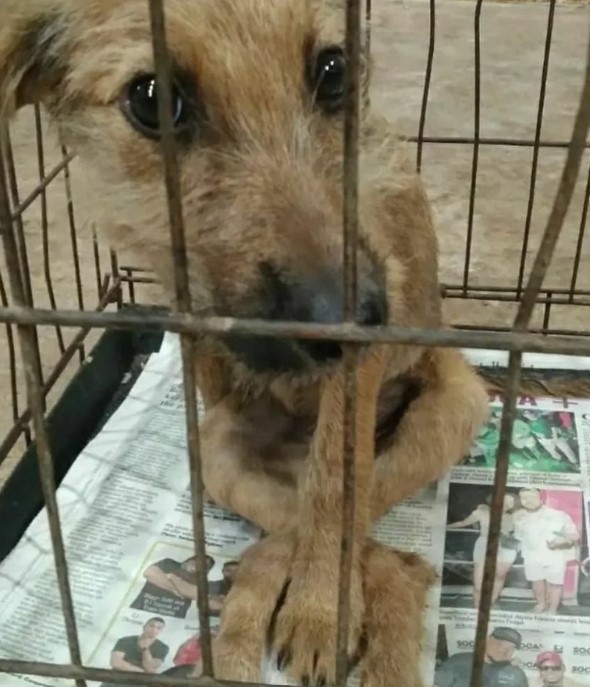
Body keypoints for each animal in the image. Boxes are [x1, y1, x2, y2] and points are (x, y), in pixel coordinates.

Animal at [0, 0, 490, 684]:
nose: (355, 315)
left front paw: (320, 609)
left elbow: (334, 486)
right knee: (294, 542)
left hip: (457, 406)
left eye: (334, 71)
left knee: (365, 530)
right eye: (152, 100)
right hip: (214, 456)